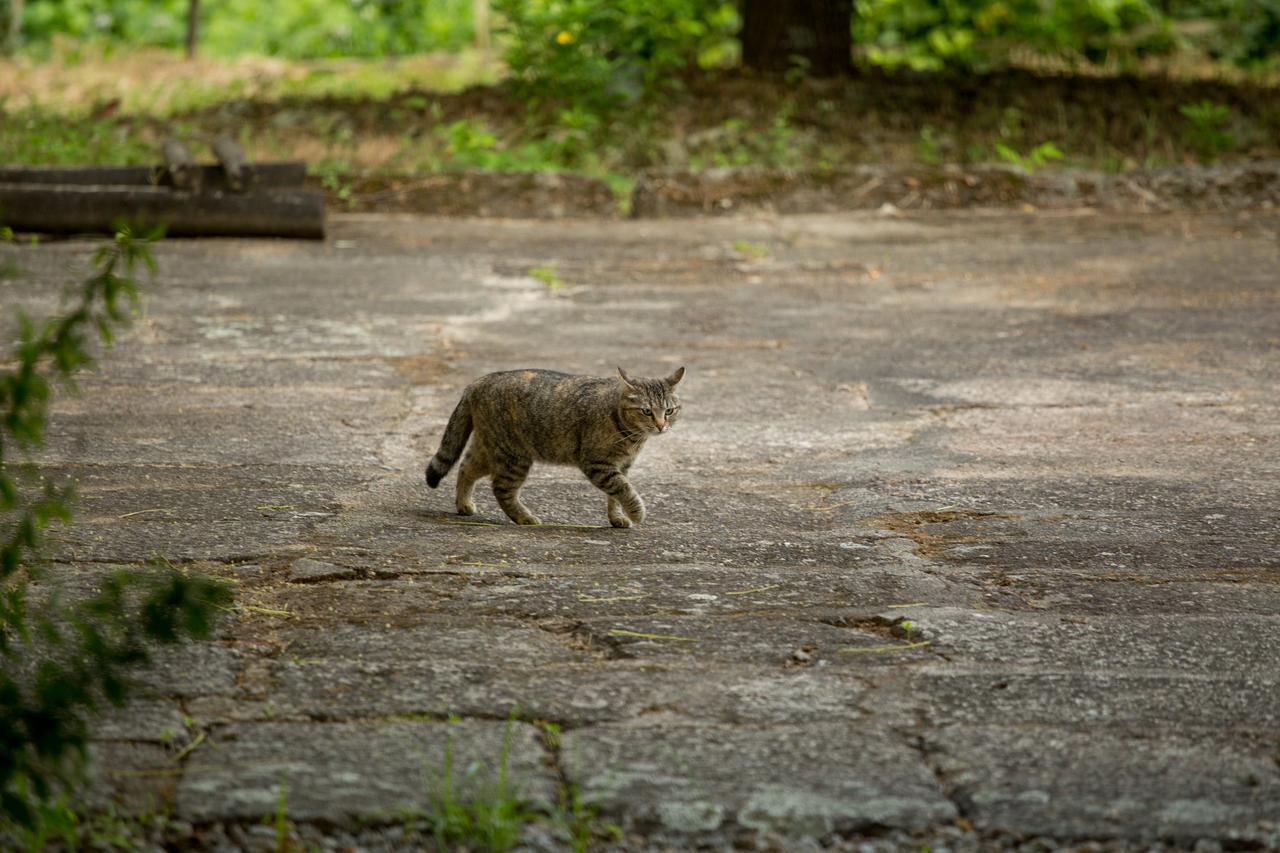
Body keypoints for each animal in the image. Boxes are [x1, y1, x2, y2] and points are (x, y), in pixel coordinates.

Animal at [424, 366, 686, 525]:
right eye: (647, 411)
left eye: (669, 411)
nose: (661, 425)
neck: (632, 437)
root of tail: (479, 380)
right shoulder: (599, 465)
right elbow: (624, 489)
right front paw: (636, 512)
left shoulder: (621, 466)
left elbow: (615, 495)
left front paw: (617, 517)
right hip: (513, 456)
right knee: (500, 489)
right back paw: (525, 518)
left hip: (489, 449)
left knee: (465, 467)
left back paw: (464, 504)